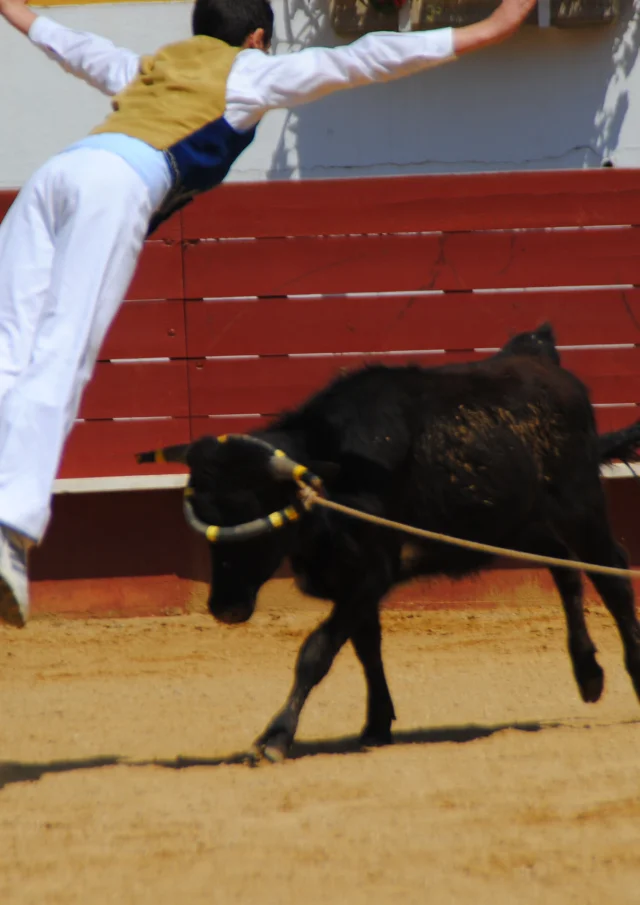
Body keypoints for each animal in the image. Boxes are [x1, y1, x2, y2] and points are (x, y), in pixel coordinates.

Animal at [139, 324, 640, 764]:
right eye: (203, 515)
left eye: (258, 511)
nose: (226, 608)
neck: (336, 476)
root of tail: (543, 360)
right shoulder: (350, 580)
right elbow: (366, 647)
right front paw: (377, 724)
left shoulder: (367, 576)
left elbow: (316, 652)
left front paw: (276, 737)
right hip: (515, 524)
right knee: (561, 565)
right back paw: (588, 674)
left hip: (581, 508)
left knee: (612, 578)